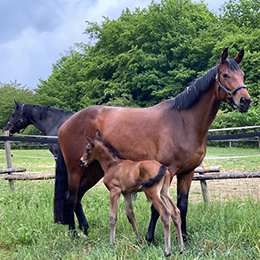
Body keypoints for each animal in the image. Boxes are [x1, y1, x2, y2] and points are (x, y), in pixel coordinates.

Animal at [53, 48, 251, 244]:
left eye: (242, 74)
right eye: (225, 75)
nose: (245, 101)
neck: (184, 122)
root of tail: (66, 124)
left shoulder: (187, 172)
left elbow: (182, 205)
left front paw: (184, 237)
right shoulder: (167, 171)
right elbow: (158, 208)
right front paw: (150, 238)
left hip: (93, 169)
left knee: (78, 195)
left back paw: (84, 229)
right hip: (76, 169)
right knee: (71, 197)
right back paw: (73, 233)